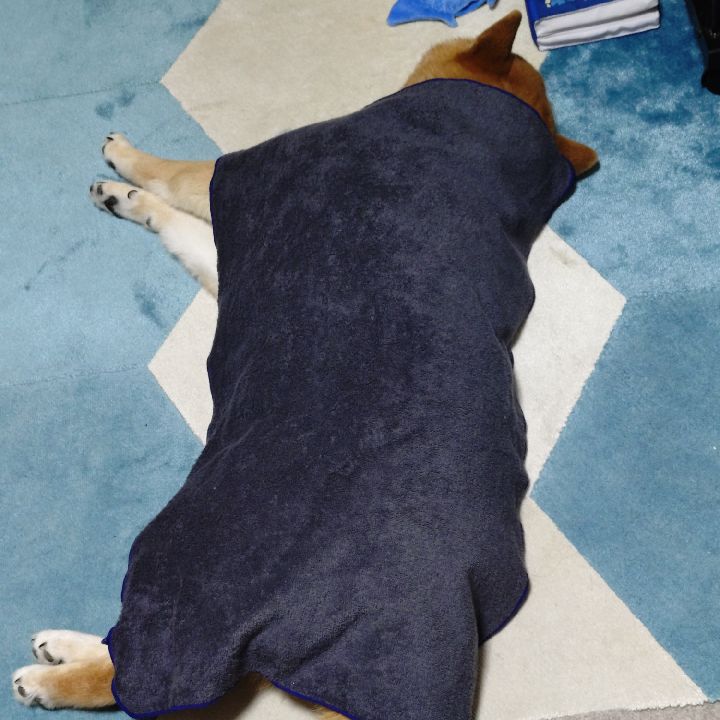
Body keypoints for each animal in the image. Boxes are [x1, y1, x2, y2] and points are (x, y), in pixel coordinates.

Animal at [12, 11, 597, 720]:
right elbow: (178, 225)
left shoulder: (252, 175)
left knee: (147, 670)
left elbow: (179, 175)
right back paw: (65, 648)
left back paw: (52, 676)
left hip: (193, 573)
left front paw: (126, 160)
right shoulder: (236, 267)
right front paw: (129, 199)